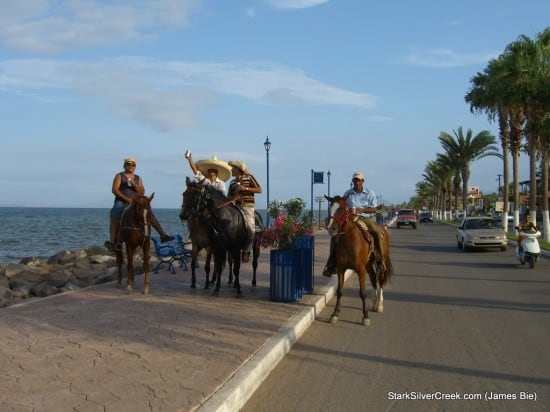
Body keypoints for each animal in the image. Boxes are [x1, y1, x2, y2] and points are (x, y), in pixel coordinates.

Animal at [326, 195, 394, 326]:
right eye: (329, 208)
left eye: (342, 209)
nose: (331, 228)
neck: (349, 240)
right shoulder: (341, 269)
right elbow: (340, 291)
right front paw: (335, 314)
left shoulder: (360, 270)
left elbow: (362, 293)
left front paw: (365, 316)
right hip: (368, 266)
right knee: (373, 280)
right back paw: (372, 304)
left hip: (380, 264)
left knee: (380, 280)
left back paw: (379, 305)